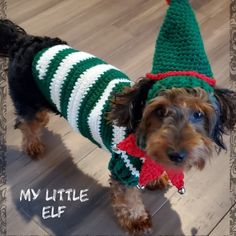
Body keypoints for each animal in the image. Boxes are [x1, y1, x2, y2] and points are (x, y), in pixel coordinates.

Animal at [1, 17, 236, 235]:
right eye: (160, 111)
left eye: (199, 114)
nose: (177, 155)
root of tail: (24, 40)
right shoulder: (123, 167)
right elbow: (129, 200)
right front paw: (137, 219)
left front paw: (155, 179)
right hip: (26, 99)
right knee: (25, 123)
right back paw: (32, 145)